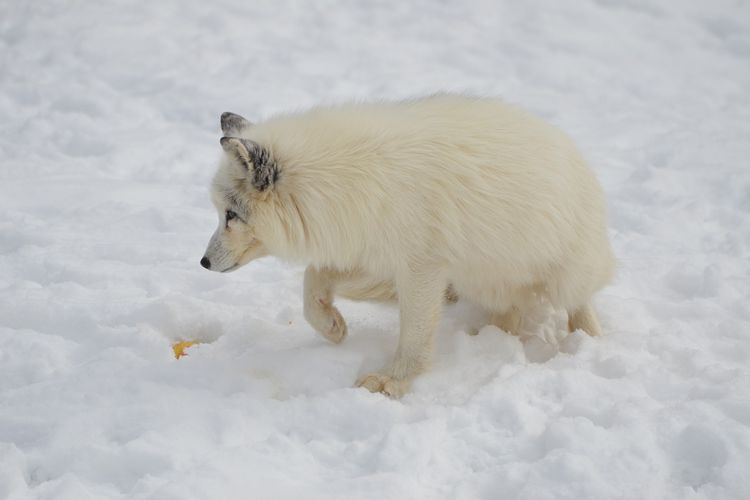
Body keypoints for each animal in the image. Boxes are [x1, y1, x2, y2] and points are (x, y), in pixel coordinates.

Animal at [201, 94, 616, 398]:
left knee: (579, 304)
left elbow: (413, 339)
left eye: (231, 215)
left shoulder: (421, 268)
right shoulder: (375, 257)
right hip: (484, 280)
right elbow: (313, 279)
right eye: (220, 212)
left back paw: (589, 341)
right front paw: (331, 326)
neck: (346, 180)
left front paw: (392, 382)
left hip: (562, 276)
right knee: (509, 315)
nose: (203, 262)